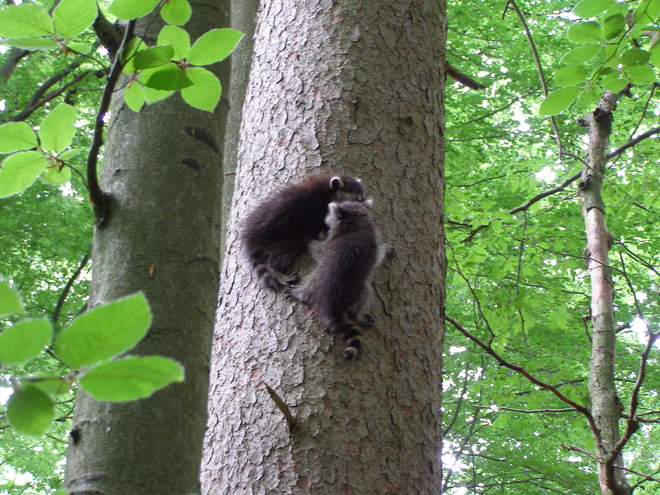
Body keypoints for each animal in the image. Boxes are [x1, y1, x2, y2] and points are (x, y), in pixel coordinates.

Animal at [288, 201, 386, 360]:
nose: (325, 222)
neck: (358, 222)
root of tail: (330, 303)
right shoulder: (374, 243)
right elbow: (379, 257)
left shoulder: (332, 241)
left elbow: (318, 250)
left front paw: (310, 239)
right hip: (357, 290)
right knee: (364, 294)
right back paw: (356, 315)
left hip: (321, 278)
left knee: (312, 282)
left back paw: (301, 294)